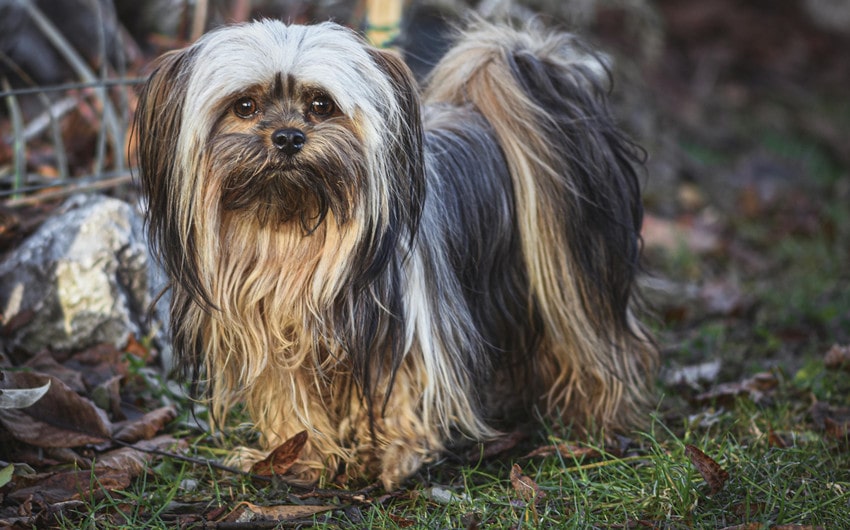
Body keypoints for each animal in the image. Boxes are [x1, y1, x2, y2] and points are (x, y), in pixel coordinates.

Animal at [136, 17, 660, 486]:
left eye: (321, 104)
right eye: (244, 105)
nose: (287, 138)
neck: (292, 233)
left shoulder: (408, 328)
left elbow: (405, 393)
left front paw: (399, 458)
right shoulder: (273, 336)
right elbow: (291, 402)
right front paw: (303, 460)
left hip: (577, 284)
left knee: (595, 348)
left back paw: (595, 422)